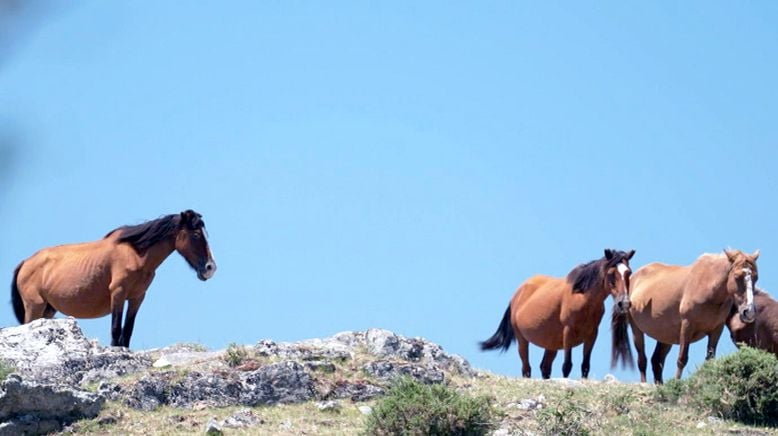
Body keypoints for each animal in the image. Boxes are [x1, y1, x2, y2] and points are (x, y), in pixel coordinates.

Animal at [12, 209, 217, 350]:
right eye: (196, 234)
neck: (136, 254)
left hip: (48, 310)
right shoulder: (118, 294)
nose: (210, 268)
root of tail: (25, 263)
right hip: (34, 306)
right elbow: (116, 330)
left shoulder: (137, 297)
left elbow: (127, 331)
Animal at [478, 249, 636, 378]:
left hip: (551, 344)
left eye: (629, 272)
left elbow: (585, 366)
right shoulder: (568, 332)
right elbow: (567, 366)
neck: (583, 298)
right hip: (522, 339)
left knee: (545, 368)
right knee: (526, 369)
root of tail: (517, 294)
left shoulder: (591, 335)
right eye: (611, 274)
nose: (624, 303)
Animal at [608, 250, 756, 384]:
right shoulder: (687, 325)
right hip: (636, 330)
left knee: (656, 361)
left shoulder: (716, 330)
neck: (708, 285)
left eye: (755, 277)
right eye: (737, 276)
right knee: (642, 360)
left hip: (665, 336)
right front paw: (676, 383)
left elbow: (710, 360)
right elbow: (682, 359)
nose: (748, 311)